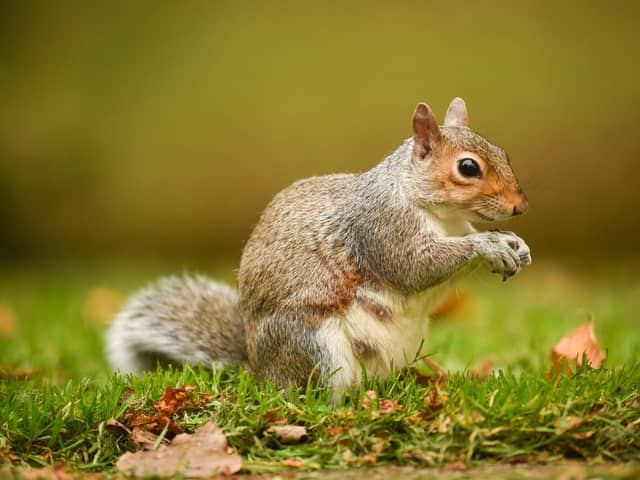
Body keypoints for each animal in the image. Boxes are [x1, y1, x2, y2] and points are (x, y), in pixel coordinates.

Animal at [106, 98, 531, 401]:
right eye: (468, 168)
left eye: (504, 154)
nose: (519, 207)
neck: (442, 215)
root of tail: (261, 371)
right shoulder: (381, 229)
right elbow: (414, 267)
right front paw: (489, 244)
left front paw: (517, 245)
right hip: (316, 347)